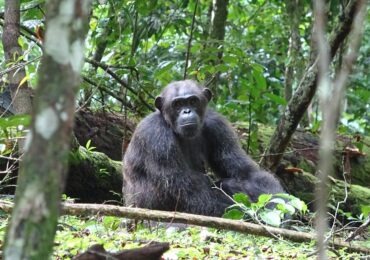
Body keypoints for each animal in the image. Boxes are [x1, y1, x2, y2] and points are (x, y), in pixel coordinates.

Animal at [123, 80, 284, 216]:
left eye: (192, 101)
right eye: (177, 104)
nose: (186, 111)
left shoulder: (218, 125)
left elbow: (246, 172)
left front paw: (278, 207)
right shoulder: (155, 136)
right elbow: (184, 189)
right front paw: (246, 215)